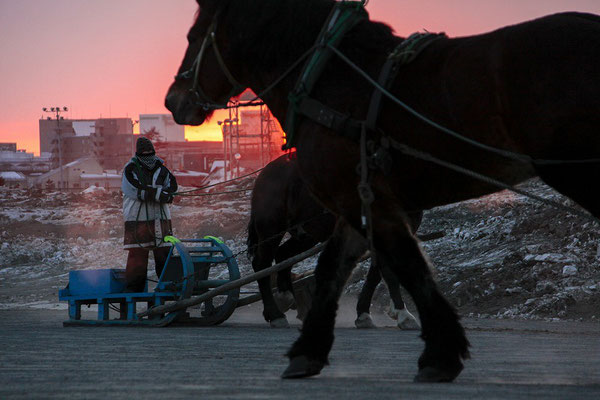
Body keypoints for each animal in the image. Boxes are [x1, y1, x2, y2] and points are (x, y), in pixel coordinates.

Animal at [246, 152, 420, 330]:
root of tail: (266, 170)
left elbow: (376, 273)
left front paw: (364, 314)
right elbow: (388, 272)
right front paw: (403, 314)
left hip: (309, 235)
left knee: (283, 254)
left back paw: (284, 296)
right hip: (271, 228)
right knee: (261, 265)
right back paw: (275, 314)